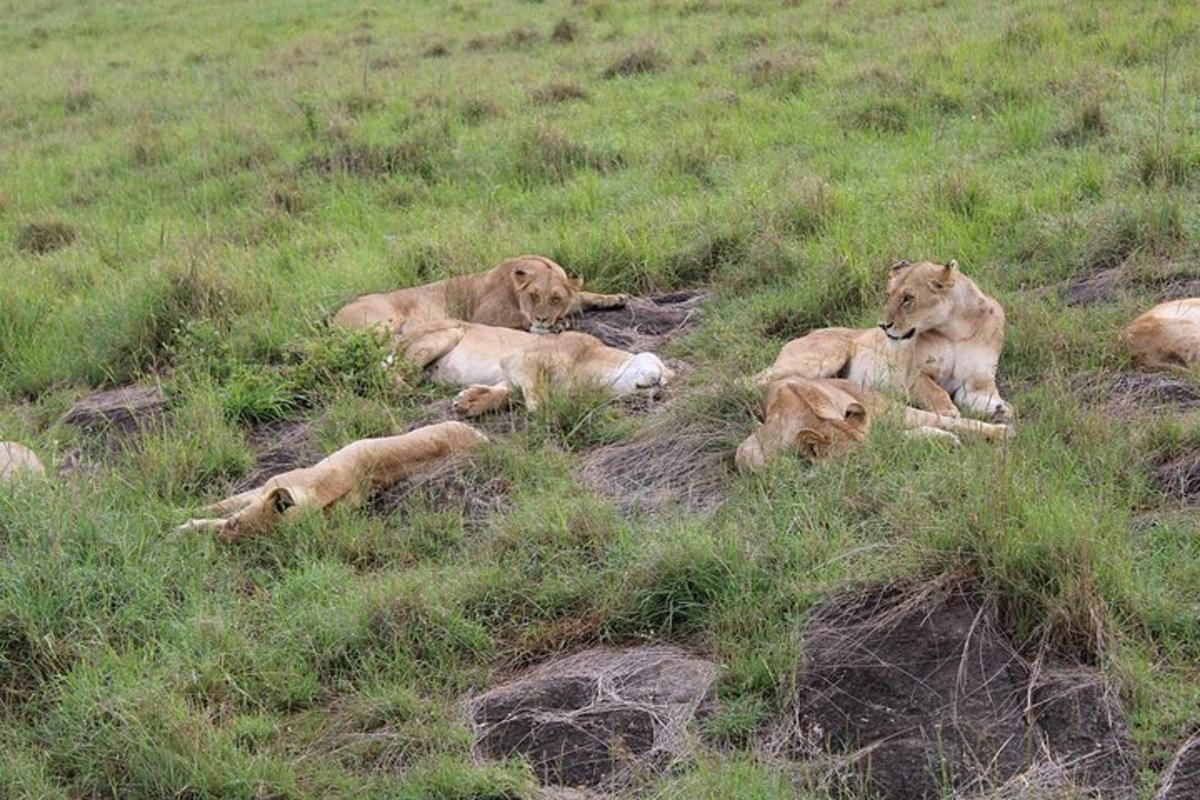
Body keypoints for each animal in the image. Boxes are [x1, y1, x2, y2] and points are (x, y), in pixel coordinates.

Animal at [175, 422, 484, 542]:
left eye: (235, 527)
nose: (225, 538)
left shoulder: (265, 486)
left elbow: (218, 507)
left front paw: (181, 523)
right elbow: (222, 504)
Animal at [328, 255, 628, 333]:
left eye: (556, 299)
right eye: (533, 296)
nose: (543, 319)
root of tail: (335, 314)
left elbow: (583, 294)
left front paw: (616, 298)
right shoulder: (484, 315)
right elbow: (519, 319)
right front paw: (555, 325)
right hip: (379, 324)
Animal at [734, 379, 1008, 472]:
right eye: (854, 460)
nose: (879, 468)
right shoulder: (750, 449)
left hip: (889, 410)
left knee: (945, 420)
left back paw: (1003, 431)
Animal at [758, 262, 1012, 424]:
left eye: (908, 298)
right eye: (889, 295)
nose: (882, 325)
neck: (955, 329)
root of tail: (805, 334)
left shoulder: (977, 384)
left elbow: (981, 397)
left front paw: (1000, 410)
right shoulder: (911, 373)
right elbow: (934, 389)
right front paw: (948, 411)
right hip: (819, 359)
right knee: (755, 381)